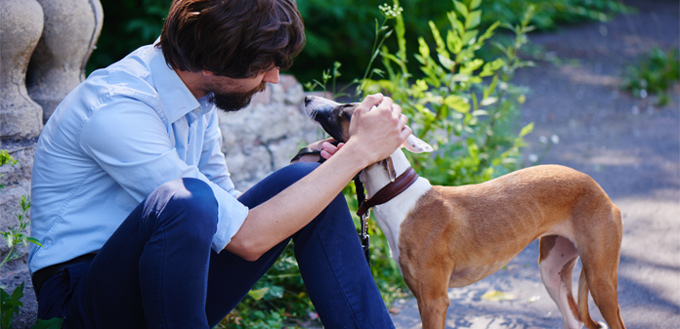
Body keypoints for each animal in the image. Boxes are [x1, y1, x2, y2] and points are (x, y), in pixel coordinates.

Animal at [306, 95, 624, 328]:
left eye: (345, 111)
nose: (308, 97)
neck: (399, 197)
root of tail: (599, 189)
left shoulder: (434, 301)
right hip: (552, 272)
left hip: (600, 279)